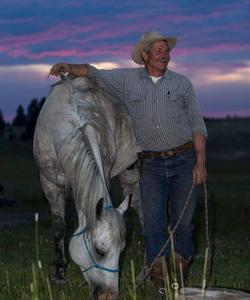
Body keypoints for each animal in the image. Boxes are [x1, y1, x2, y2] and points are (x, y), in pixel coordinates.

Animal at [33, 73, 141, 300]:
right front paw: (59, 275)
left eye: (122, 250)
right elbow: (59, 227)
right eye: (100, 251)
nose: (110, 295)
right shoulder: (50, 184)